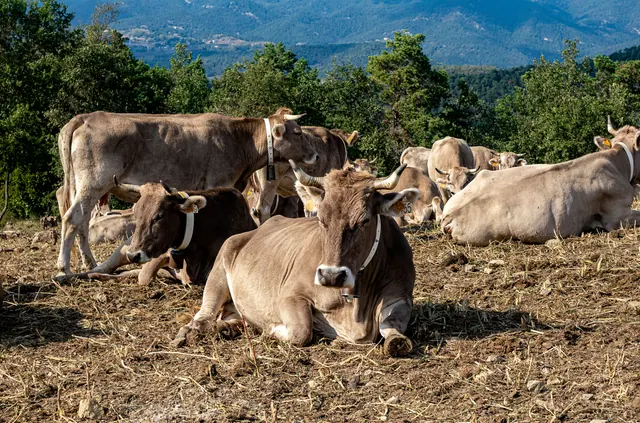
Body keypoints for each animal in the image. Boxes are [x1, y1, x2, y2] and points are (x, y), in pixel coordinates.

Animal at [172, 162, 418, 357]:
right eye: (321, 218)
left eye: (364, 220)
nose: (331, 276)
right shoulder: (290, 295)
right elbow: (302, 330)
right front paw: (274, 329)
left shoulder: (401, 297)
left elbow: (395, 333)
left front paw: (395, 339)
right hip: (219, 271)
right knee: (205, 314)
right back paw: (190, 331)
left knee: (231, 316)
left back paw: (227, 327)